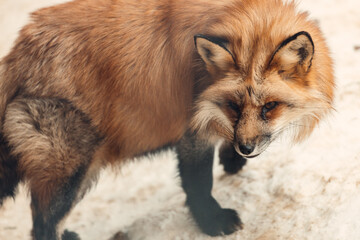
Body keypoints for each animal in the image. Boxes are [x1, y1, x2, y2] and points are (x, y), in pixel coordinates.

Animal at [0, 0, 334, 239]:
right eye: (234, 105)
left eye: (269, 107)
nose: (246, 149)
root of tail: (16, 55)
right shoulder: (192, 131)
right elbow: (199, 184)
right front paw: (212, 222)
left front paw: (232, 159)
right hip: (72, 172)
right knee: (42, 226)